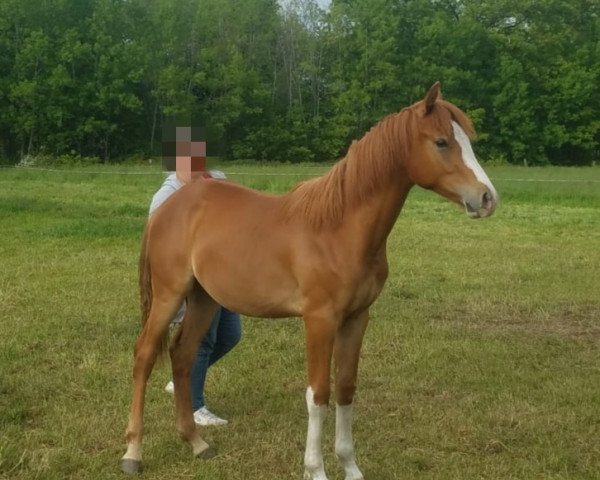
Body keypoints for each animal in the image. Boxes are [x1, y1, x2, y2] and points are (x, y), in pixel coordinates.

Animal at [120, 84, 496, 478]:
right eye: (441, 142)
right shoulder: (320, 320)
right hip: (169, 295)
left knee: (183, 355)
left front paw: (351, 467)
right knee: (144, 355)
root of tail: (167, 208)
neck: (338, 228)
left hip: (204, 299)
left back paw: (197, 443)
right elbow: (318, 394)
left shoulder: (356, 318)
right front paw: (315, 469)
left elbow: (345, 388)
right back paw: (133, 452)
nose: (487, 198)